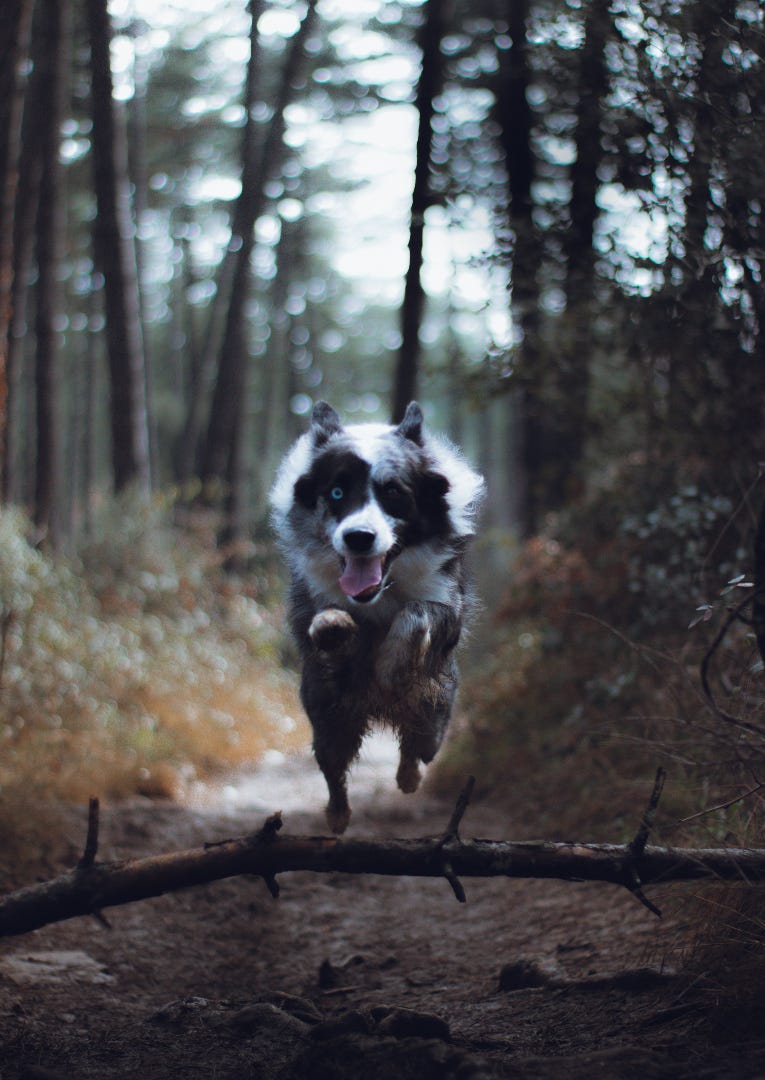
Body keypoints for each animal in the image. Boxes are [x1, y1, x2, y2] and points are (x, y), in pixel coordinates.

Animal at [269, 401, 484, 829]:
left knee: (417, 750)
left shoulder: (446, 605)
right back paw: (337, 816)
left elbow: (418, 612)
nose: (358, 538)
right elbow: (325, 623)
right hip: (326, 714)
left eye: (393, 493)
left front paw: (391, 666)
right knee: (333, 770)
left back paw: (407, 778)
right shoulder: (313, 613)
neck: (378, 594)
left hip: (434, 710)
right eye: (336, 492)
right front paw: (335, 627)